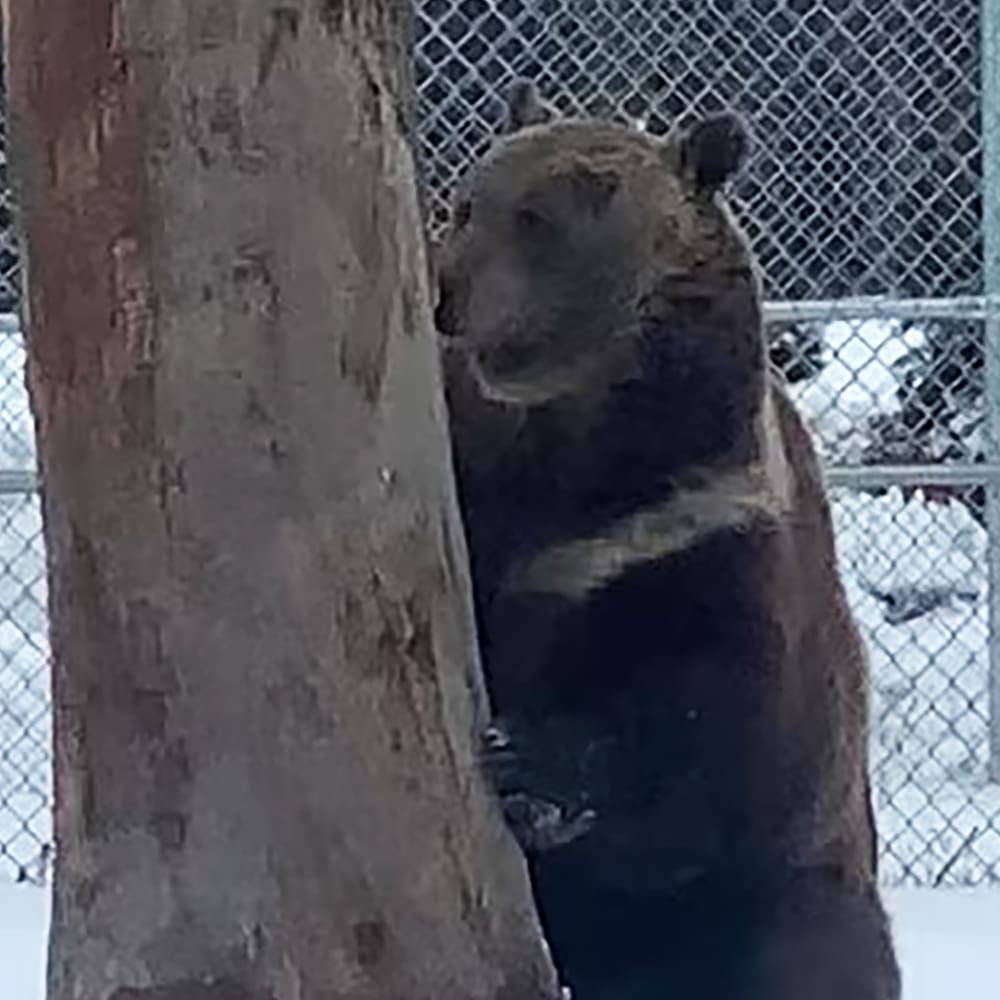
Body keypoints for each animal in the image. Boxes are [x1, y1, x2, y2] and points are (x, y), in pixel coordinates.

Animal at [435, 80, 901, 1000]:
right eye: (471, 201)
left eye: (547, 214)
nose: (449, 293)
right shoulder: (495, 515)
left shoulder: (693, 533)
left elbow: (702, 711)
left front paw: (532, 763)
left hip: (792, 898)